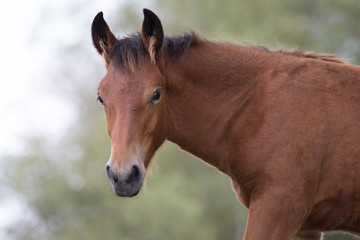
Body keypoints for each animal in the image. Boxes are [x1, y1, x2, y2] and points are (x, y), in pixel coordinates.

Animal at [90, 8, 360, 240]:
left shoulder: (277, 208)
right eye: (101, 97)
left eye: (156, 94)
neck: (258, 106)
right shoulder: (305, 228)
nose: (123, 176)